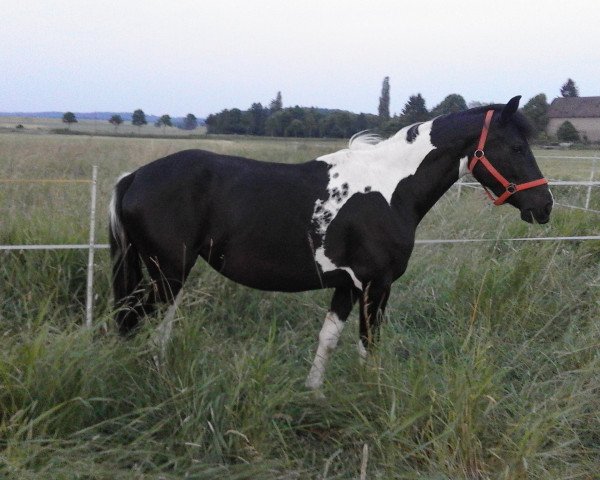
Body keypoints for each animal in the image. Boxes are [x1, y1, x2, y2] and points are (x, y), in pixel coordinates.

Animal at [109, 96, 552, 390]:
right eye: (516, 147)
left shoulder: (347, 285)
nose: (544, 206)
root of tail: (134, 177)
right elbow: (368, 346)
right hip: (168, 275)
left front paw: (314, 393)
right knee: (135, 322)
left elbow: (328, 339)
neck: (389, 188)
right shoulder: (377, 285)